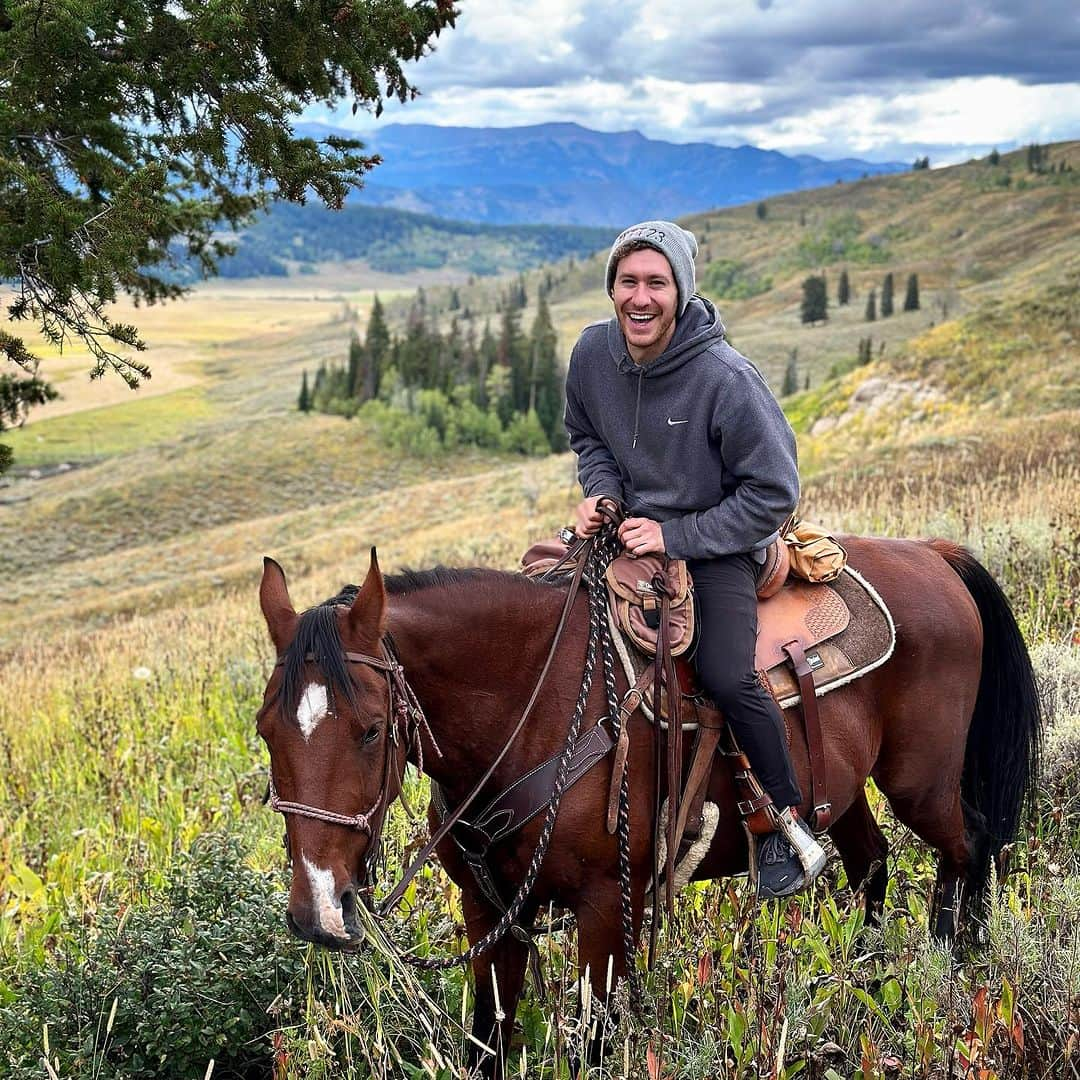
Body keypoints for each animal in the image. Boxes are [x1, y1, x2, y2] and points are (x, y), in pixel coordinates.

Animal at [252, 535, 1036, 1075]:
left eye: (370, 729)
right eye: (265, 731)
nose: (318, 912)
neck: (531, 707)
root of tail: (930, 552)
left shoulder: (607, 906)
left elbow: (593, 1042)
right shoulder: (490, 909)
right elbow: (488, 1040)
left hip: (921, 780)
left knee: (965, 852)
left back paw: (951, 972)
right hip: (841, 795)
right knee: (873, 866)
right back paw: (871, 981)